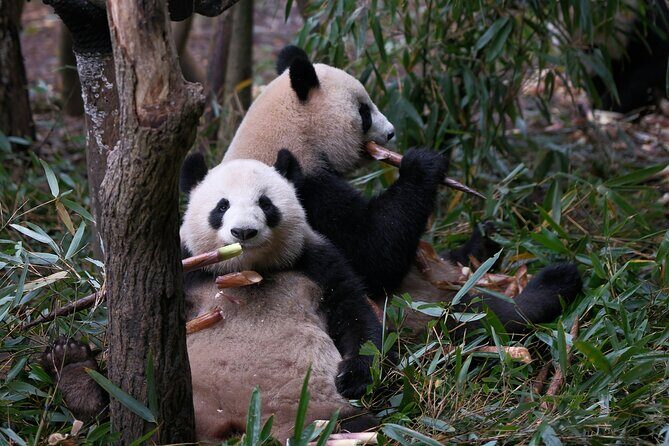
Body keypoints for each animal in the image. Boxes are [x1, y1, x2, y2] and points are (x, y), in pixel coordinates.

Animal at [42, 155, 383, 442]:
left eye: (266, 203)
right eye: (221, 206)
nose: (243, 232)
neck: (246, 271)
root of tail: (237, 425)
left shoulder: (315, 262)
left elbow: (354, 313)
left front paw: (352, 375)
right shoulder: (185, 266)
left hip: (319, 412)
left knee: (361, 427)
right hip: (166, 405)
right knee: (116, 415)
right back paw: (73, 369)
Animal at [220, 45, 583, 335]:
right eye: (364, 112)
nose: (392, 132)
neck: (289, 135)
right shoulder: (302, 195)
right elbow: (373, 256)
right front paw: (423, 163)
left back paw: (490, 238)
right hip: (422, 309)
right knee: (482, 315)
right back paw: (554, 283)